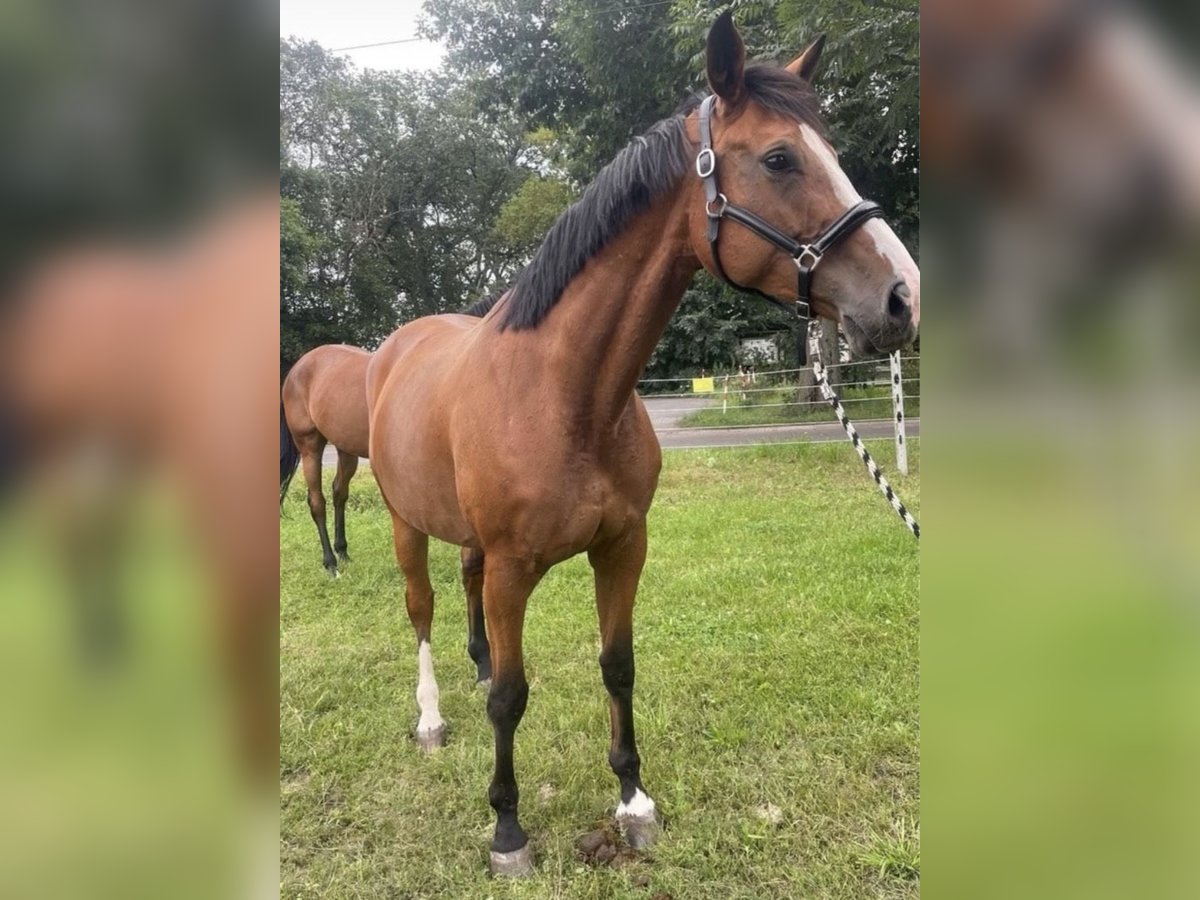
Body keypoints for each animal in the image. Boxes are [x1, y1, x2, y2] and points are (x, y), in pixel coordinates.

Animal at [281, 344, 371, 575]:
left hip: (346, 450)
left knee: (339, 493)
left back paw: (342, 552)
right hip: (309, 447)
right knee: (317, 502)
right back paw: (330, 563)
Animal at [366, 13, 920, 876]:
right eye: (780, 158)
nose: (903, 296)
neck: (566, 395)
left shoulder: (623, 546)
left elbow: (617, 666)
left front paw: (633, 800)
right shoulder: (516, 567)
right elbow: (511, 700)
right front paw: (508, 830)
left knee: (465, 593)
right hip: (404, 524)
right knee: (421, 611)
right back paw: (430, 718)